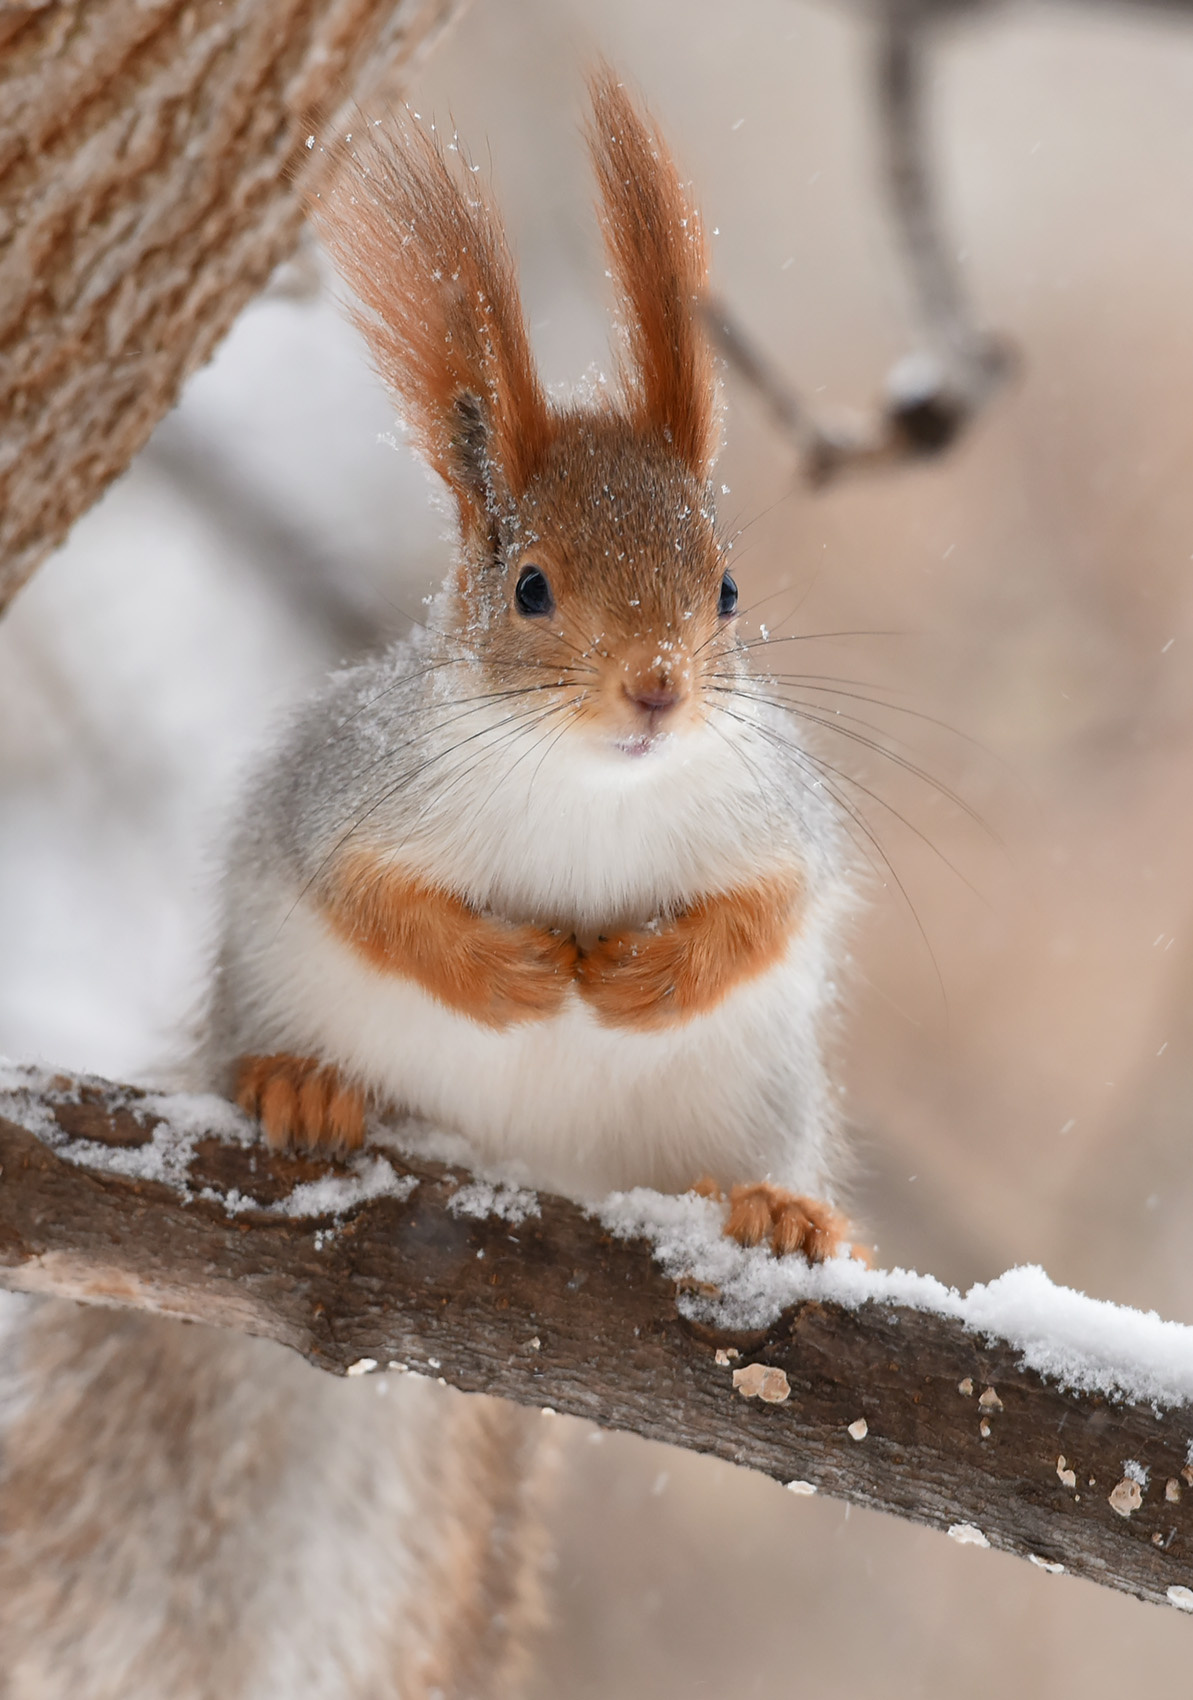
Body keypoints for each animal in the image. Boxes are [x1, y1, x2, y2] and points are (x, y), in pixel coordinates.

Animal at [0, 72, 858, 1699]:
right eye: (528, 587)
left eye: (722, 586)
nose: (657, 691)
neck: (595, 786)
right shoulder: (338, 798)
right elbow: (370, 901)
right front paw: (515, 973)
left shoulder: (778, 817)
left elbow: (766, 914)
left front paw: (641, 974)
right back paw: (300, 1085)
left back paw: (774, 1209)